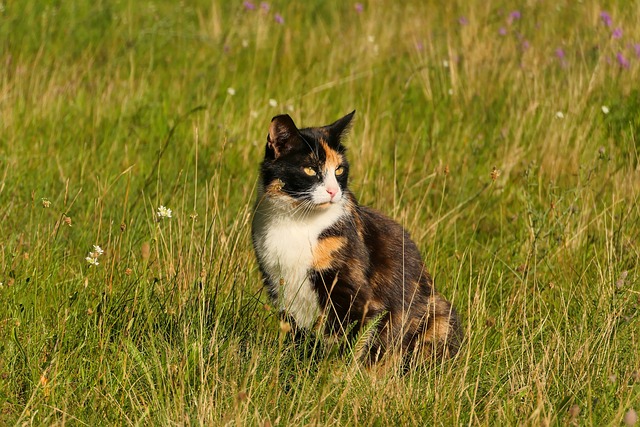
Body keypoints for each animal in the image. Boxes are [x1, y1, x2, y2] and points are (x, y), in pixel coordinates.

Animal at [250, 111, 460, 364]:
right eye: (310, 169)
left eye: (339, 169)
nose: (333, 191)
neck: (297, 222)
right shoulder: (280, 288)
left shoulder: (360, 301)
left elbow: (350, 349)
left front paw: (333, 373)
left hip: (437, 316)